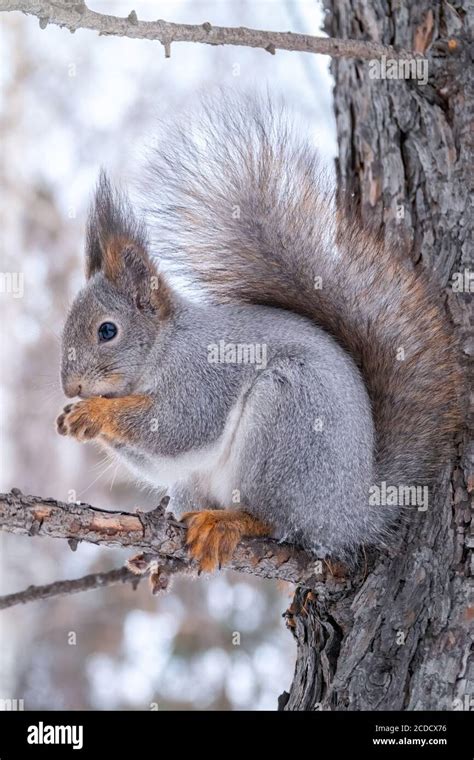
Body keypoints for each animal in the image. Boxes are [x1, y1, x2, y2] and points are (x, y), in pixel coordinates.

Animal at [55, 93, 460, 568]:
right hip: (201, 479)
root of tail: (350, 514)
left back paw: (230, 524)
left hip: (287, 418)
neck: (163, 348)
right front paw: (74, 416)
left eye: (107, 331)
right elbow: (157, 459)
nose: (71, 386)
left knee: (277, 520)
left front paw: (92, 413)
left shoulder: (203, 375)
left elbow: (178, 425)